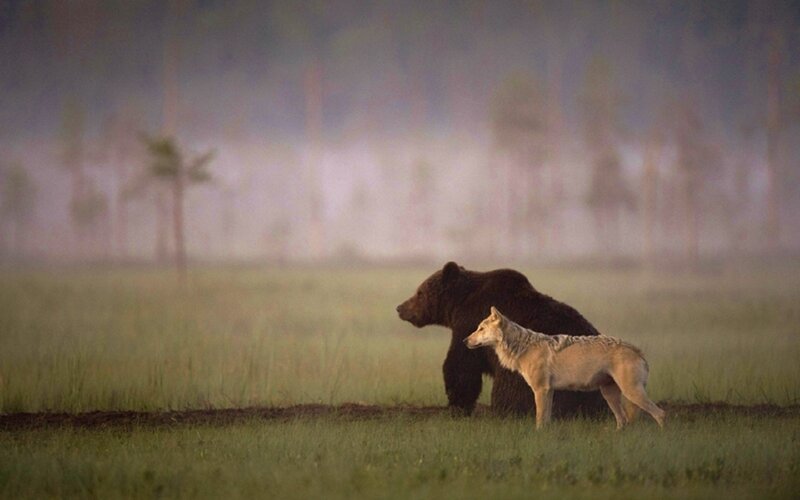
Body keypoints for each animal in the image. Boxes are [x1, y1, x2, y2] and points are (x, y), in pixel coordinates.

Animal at [396, 261, 608, 418]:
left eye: (419, 293)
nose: (400, 307)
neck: (459, 304)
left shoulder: (469, 324)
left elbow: (461, 365)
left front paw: (457, 404)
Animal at [465, 307, 665, 430]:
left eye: (480, 329)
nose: (464, 341)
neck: (523, 347)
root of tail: (637, 350)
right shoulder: (549, 391)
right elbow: (546, 419)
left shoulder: (541, 390)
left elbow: (539, 419)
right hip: (610, 395)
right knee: (623, 421)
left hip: (631, 393)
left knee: (660, 414)